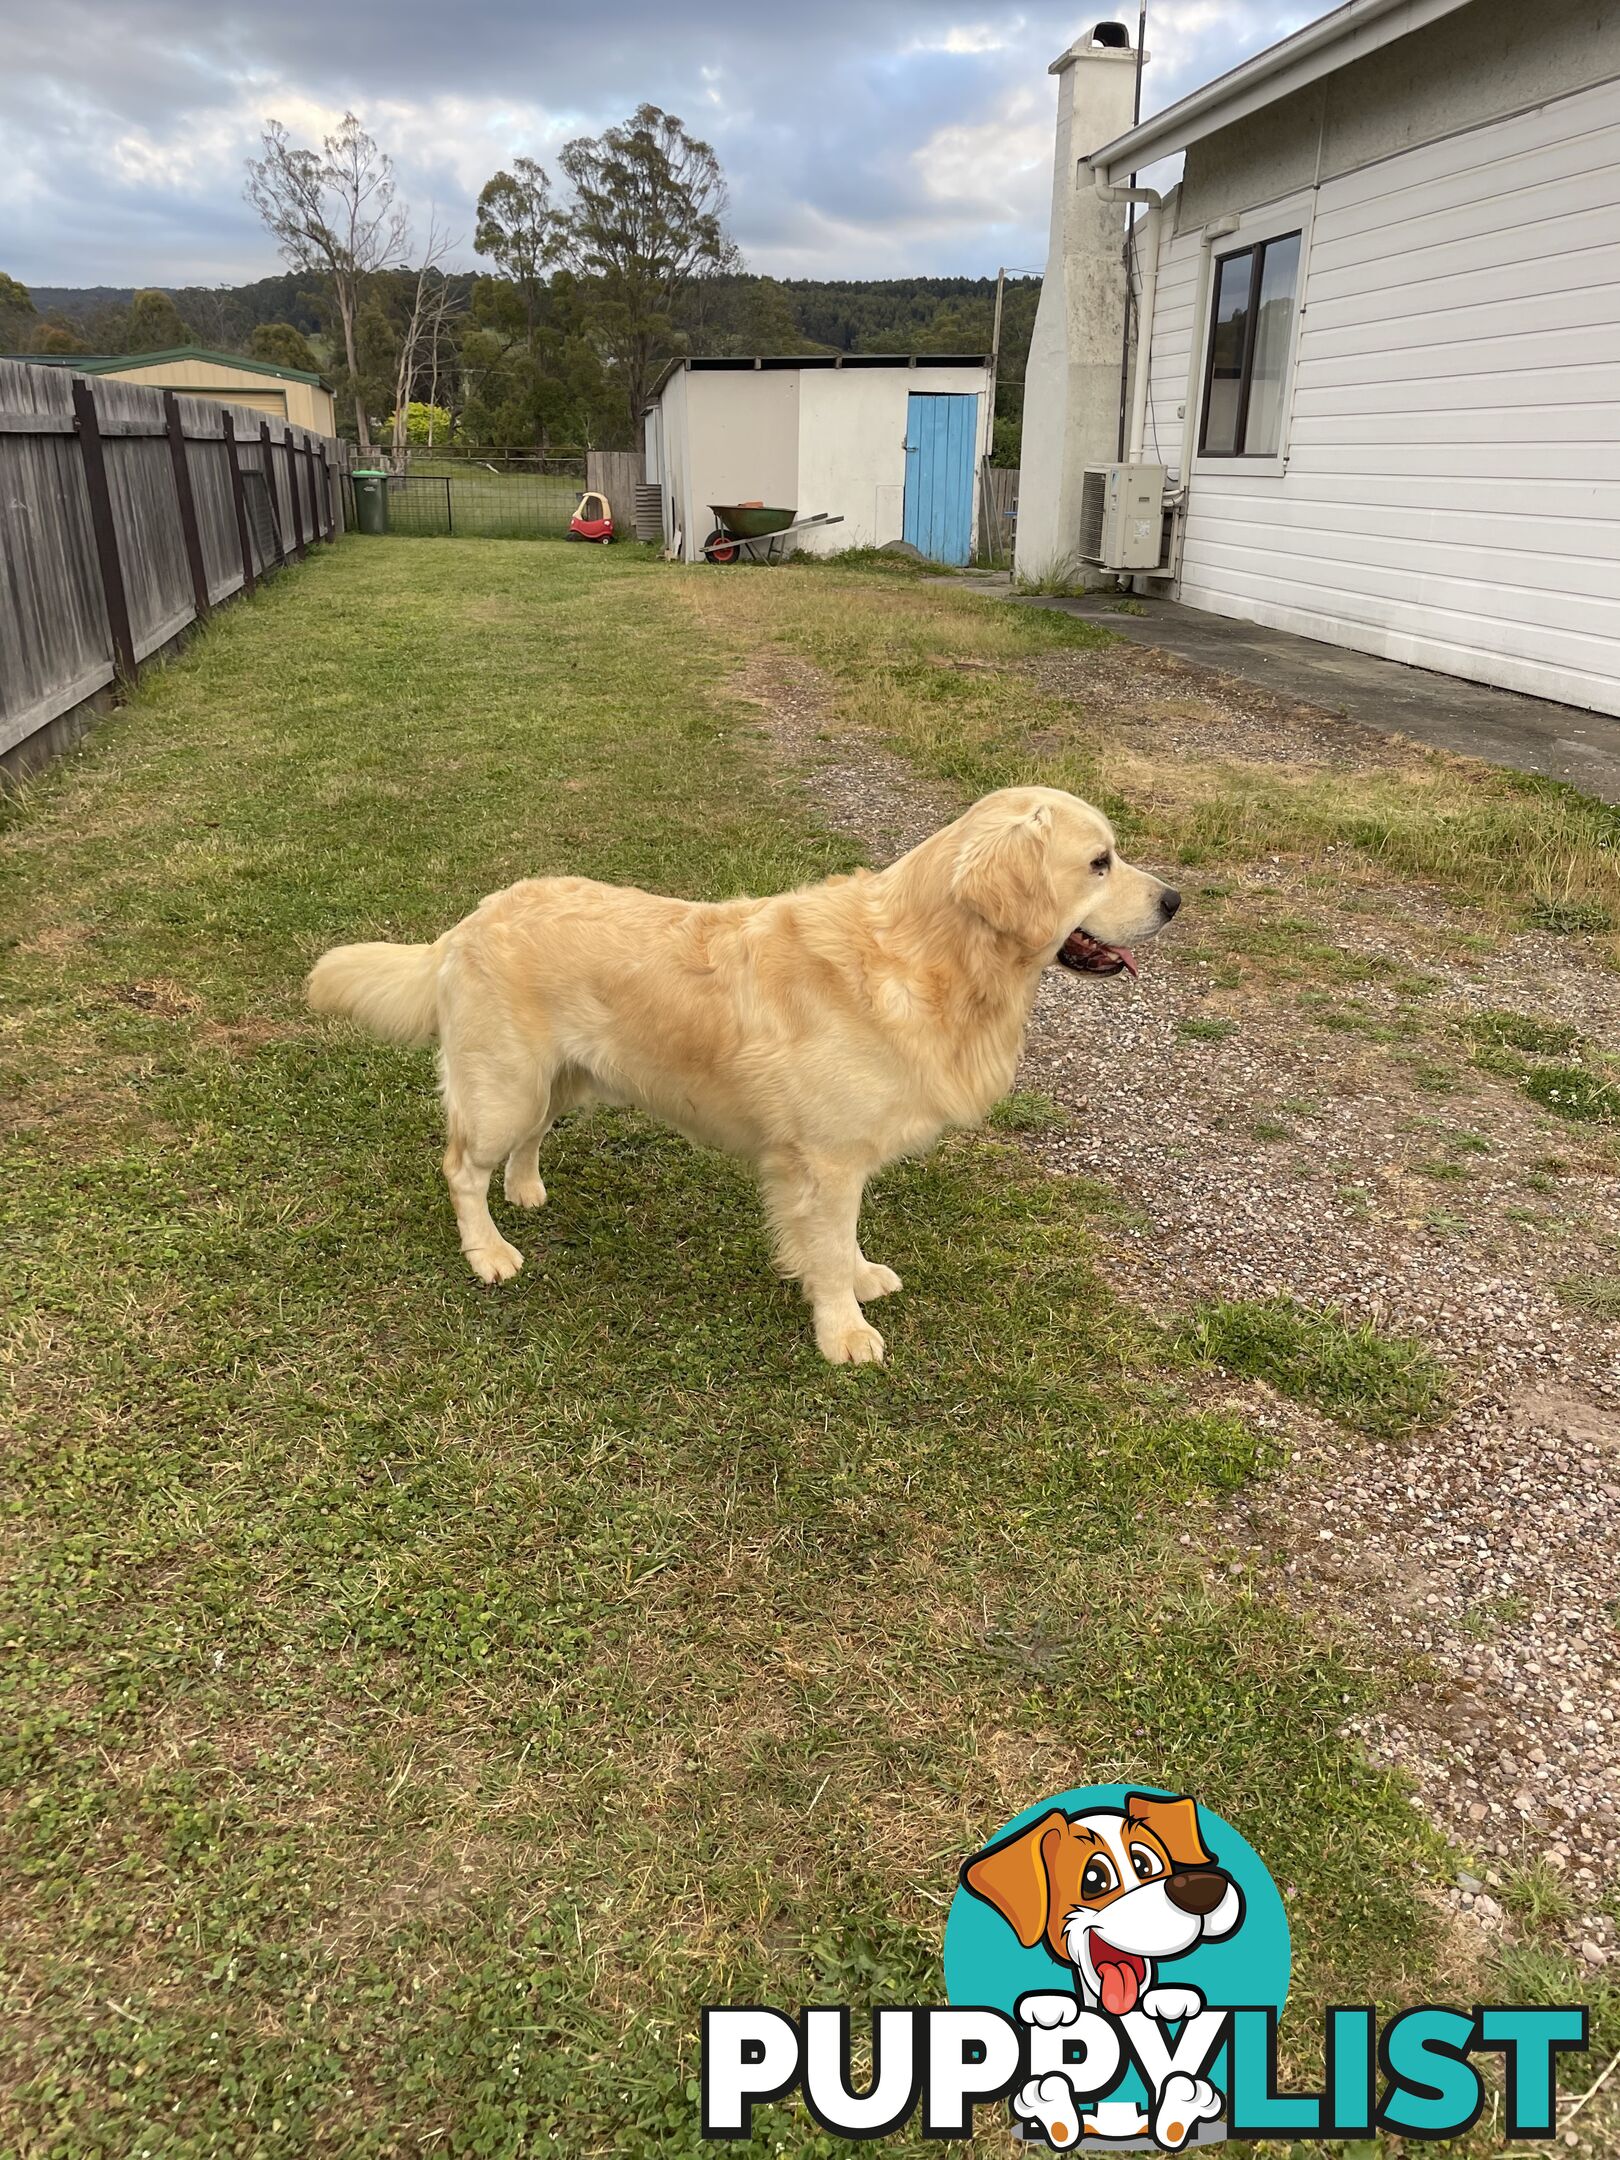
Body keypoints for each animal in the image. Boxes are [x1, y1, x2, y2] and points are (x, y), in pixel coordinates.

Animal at [311, 790, 1183, 1365]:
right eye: (1099, 863)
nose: (1175, 899)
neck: (927, 957)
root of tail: (469, 919)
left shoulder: (840, 1159)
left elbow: (843, 1240)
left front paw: (861, 1279)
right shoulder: (824, 1162)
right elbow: (825, 1248)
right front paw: (843, 1331)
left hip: (560, 1082)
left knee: (525, 1144)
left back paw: (525, 1191)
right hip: (505, 1085)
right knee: (461, 1167)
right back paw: (488, 1251)